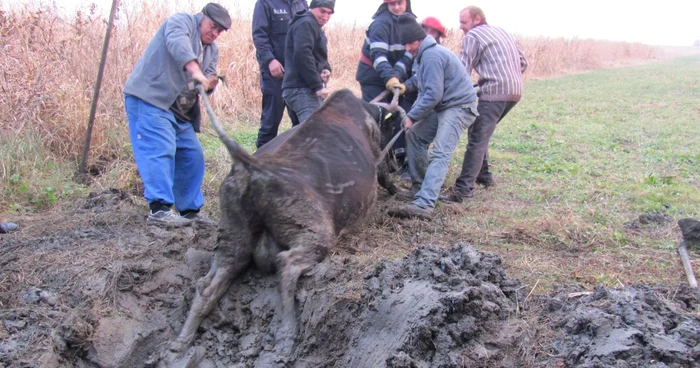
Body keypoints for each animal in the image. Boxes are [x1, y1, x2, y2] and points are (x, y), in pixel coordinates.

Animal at [165, 88, 402, 362]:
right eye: (393, 127)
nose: (398, 162)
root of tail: (249, 166)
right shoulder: (378, 160)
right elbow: (385, 179)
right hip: (316, 232)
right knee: (286, 264)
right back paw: (287, 336)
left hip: (233, 239)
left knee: (207, 284)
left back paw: (180, 343)